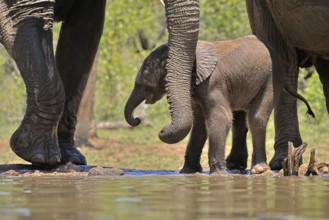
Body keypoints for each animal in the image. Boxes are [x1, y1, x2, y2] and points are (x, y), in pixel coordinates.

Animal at [123, 35, 312, 174]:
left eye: (146, 83)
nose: (137, 119)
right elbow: (200, 124)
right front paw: (188, 172)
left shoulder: (213, 83)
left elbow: (219, 118)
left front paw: (218, 174)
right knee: (240, 120)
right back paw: (235, 167)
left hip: (272, 79)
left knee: (255, 118)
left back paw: (258, 169)